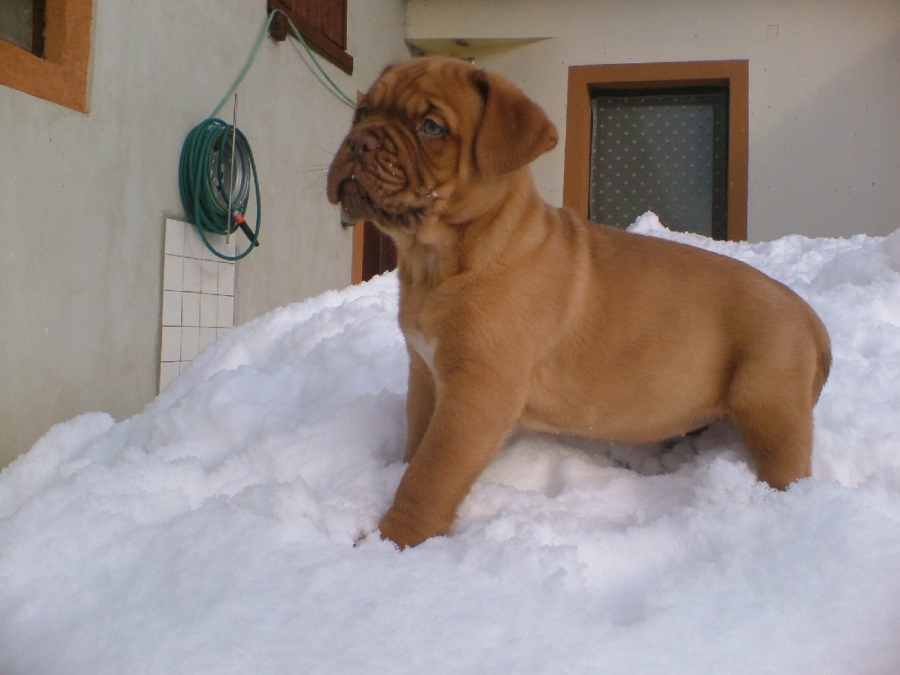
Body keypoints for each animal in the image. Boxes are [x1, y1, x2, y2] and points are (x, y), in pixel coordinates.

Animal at [327, 57, 831, 549]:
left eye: (431, 127)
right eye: (362, 112)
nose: (359, 142)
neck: (440, 261)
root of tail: (807, 313)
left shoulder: (477, 392)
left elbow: (430, 475)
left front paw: (390, 542)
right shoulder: (426, 374)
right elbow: (417, 446)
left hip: (767, 403)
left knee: (788, 465)